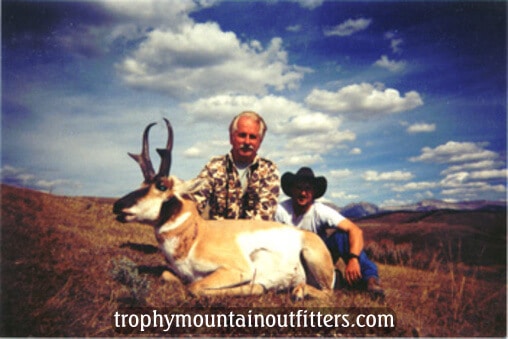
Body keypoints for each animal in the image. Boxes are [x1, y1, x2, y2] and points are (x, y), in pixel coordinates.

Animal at [114, 119, 338, 300]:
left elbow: (195, 287)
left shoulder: (238, 270)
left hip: (312, 258)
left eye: (161, 186)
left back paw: (298, 291)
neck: (197, 234)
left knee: (327, 293)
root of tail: (306, 235)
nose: (117, 206)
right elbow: (168, 276)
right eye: (142, 183)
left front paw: (259, 287)